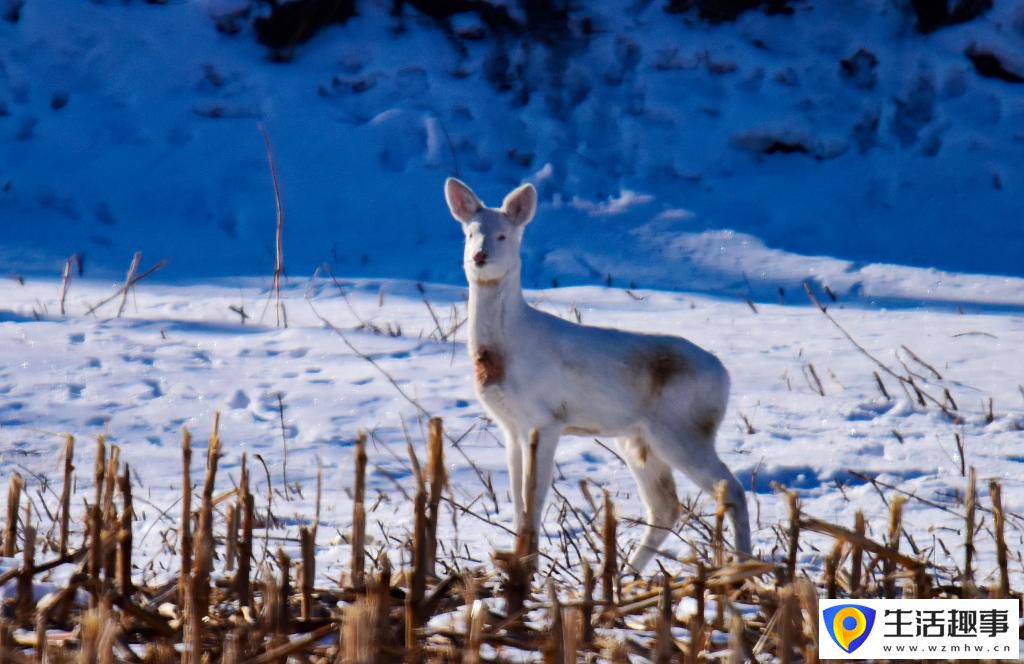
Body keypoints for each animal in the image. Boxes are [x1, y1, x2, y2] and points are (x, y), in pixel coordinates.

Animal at [442, 177, 753, 569]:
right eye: (469, 233)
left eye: (503, 235)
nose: (479, 256)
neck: (506, 347)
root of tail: (725, 377)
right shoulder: (511, 425)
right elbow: (517, 499)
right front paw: (516, 560)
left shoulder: (546, 419)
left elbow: (535, 499)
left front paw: (529, 566)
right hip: (639, 439)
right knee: (666, 506)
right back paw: (627, 575)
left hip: (683, 429)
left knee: (732, 489)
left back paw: (743, 568)